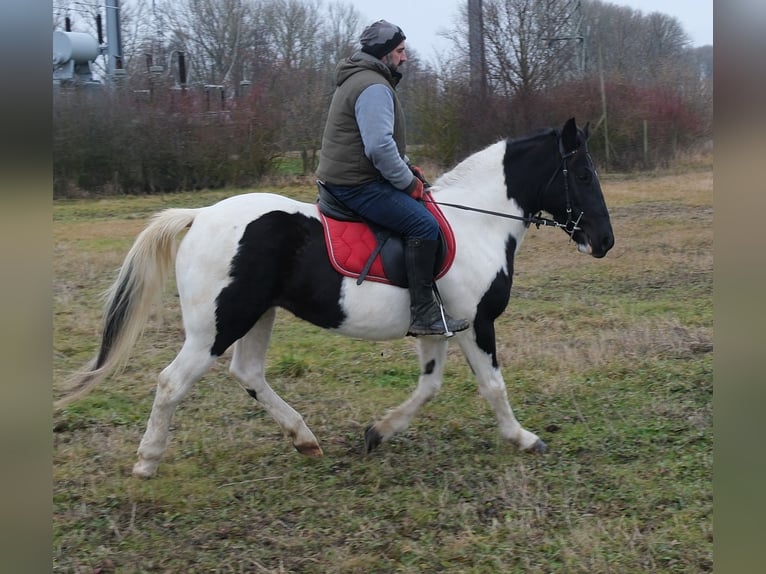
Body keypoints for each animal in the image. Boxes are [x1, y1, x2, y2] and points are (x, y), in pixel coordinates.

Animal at [55, 118, 614, 478]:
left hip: (257, 316)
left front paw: (379, 433)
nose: (605, 242)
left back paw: (304, 439)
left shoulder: (438, 326)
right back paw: (147, 461)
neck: (476, 221)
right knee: (172, 383)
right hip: (216, 325)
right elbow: (494, 386)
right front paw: (524, 439)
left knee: (248, 374)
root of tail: (200, 215)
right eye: (583, 174)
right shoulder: (477, 324)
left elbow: (429, 387)